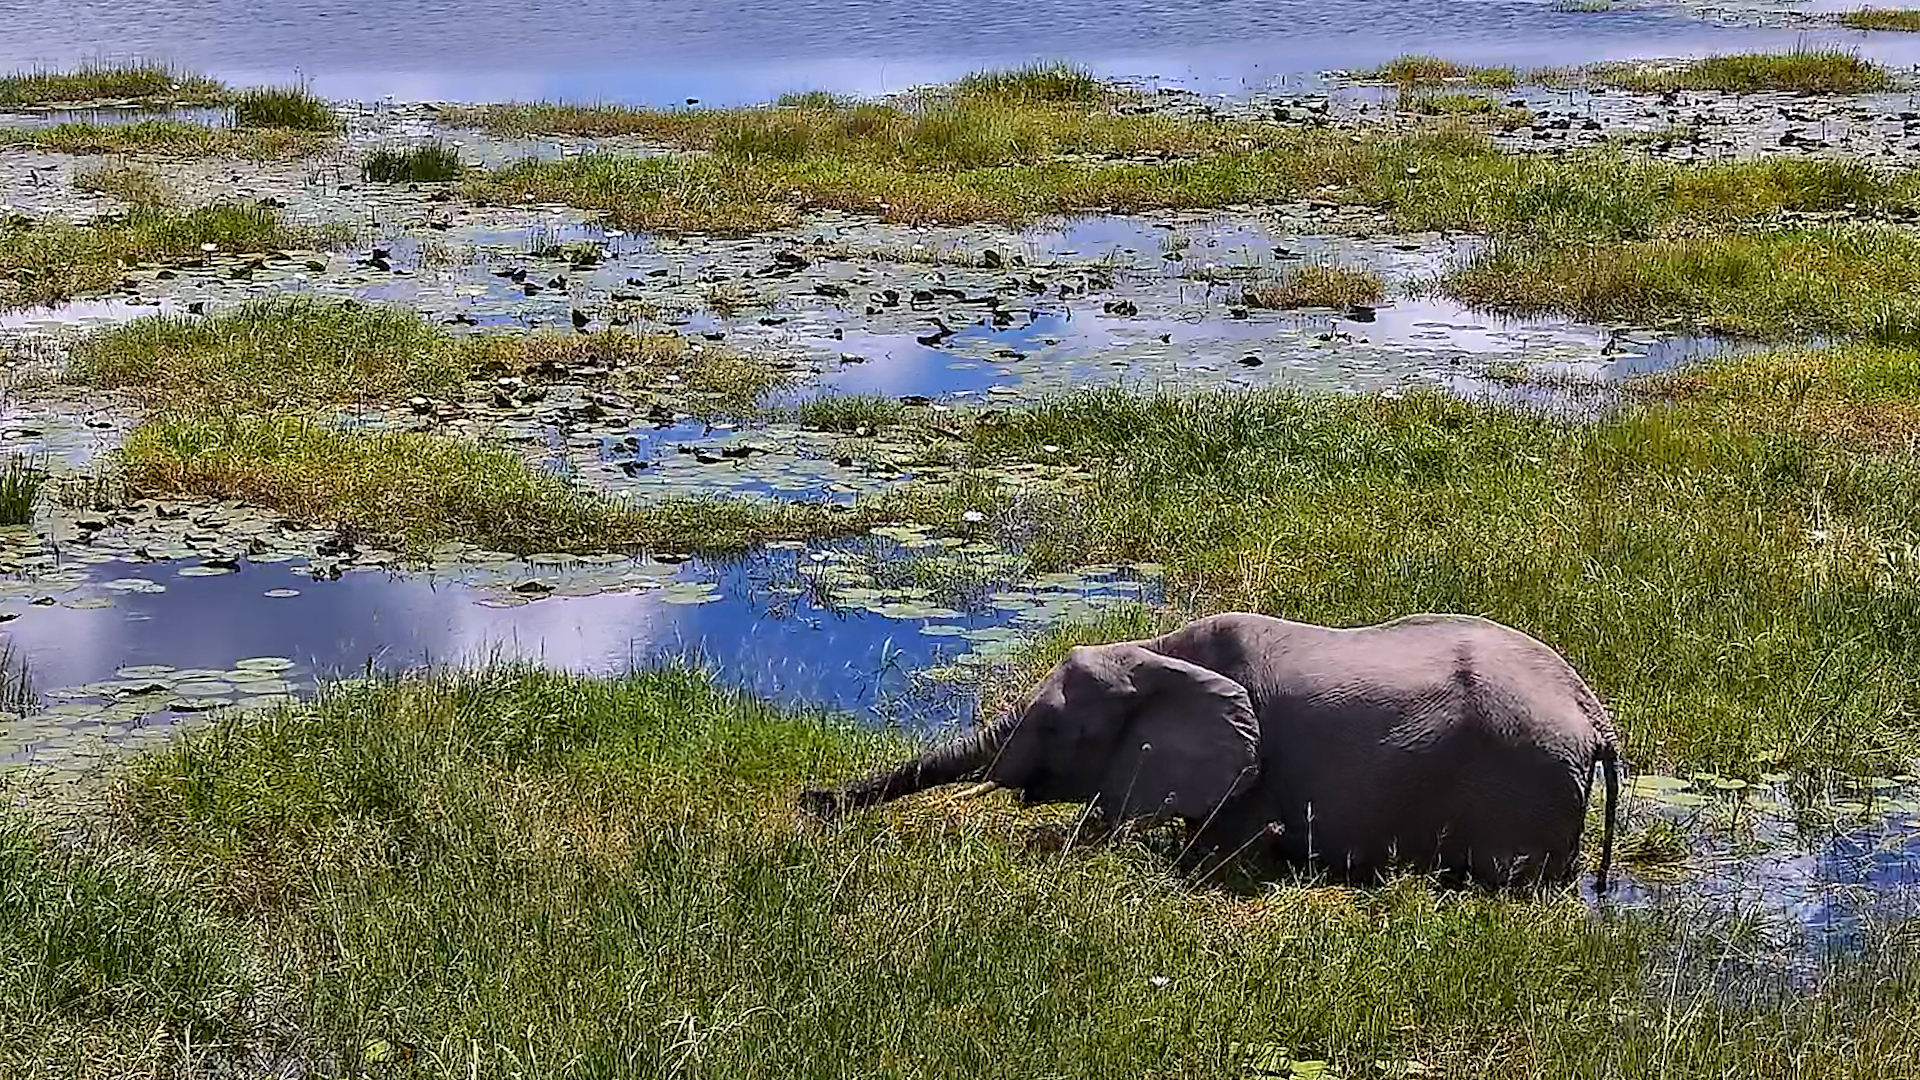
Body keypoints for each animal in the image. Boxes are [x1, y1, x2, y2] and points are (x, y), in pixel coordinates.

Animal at [800, 611, 1621, 893]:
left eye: (1061, 730)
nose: (813, 802)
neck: (1164, 651)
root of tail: (1595, 715)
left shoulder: (1254, 774)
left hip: (1522, 780)